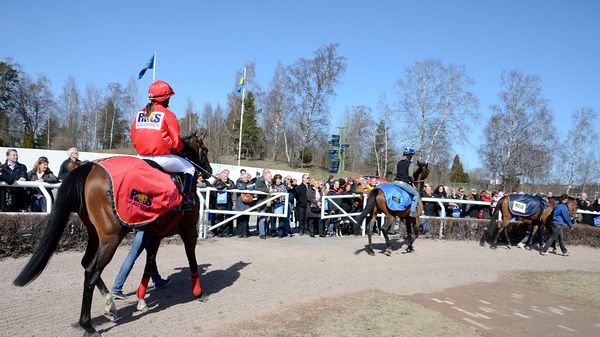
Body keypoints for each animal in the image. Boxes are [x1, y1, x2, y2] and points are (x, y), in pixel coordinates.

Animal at [12, 131, 213, 336]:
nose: (209, 172)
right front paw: (199, 292)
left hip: (95, 233)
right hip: (111, 238)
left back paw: (110, 305)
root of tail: (89, 168)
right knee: (91, 271)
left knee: (86, 263)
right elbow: (191, 259)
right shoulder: (189, 230)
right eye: (204, 150)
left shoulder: (154, 234)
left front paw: (142, 300)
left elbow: (149, 264)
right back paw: (88, 325)